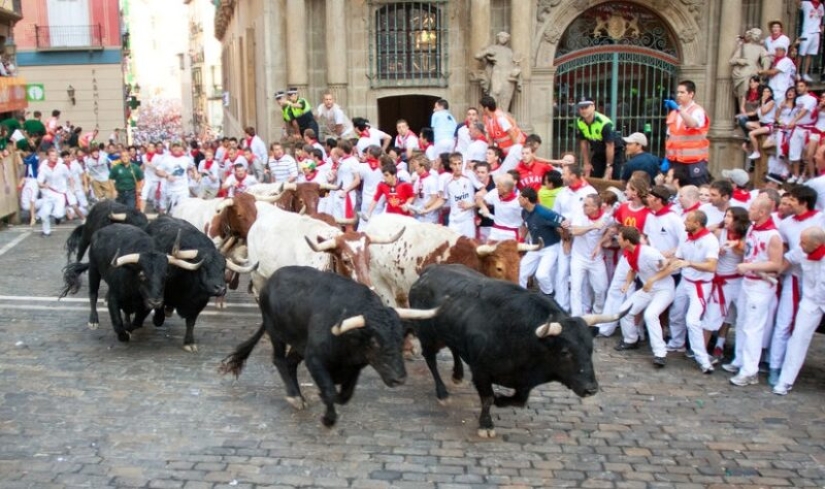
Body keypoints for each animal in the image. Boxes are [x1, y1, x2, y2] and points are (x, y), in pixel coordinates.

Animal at [408, 264, 628, 436]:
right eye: (565, 352)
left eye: (590, 349)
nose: (591, 389)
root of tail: (429, 271)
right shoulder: (481, 371)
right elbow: (487, 398)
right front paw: (486, 424)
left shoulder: (524, 381)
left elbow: (519, 400)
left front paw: (500, 400)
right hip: (427, 335)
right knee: (430, 359)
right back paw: (442, 393)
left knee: (453, 348)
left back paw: (457, 374)